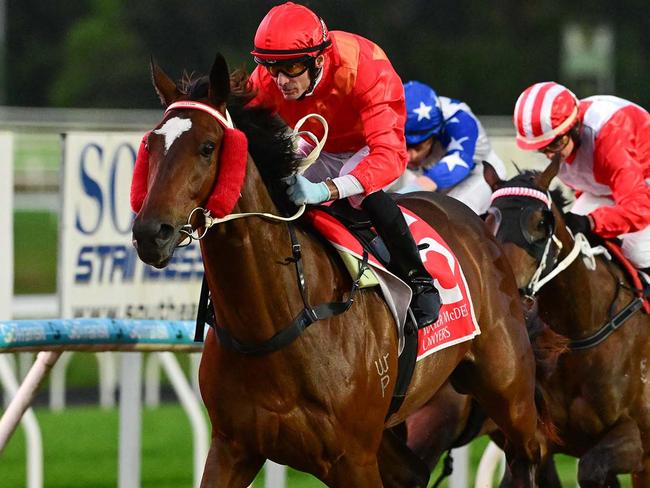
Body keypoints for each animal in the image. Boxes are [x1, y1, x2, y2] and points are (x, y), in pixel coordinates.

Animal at [133, 53, 548, 488]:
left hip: (510, 391)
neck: (274, 322)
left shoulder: (353, 459)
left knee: (530, 452)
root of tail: (475, 223)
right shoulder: (233, 447)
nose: (151, 232)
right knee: (414, 471)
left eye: (208, 147)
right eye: (151, 145)